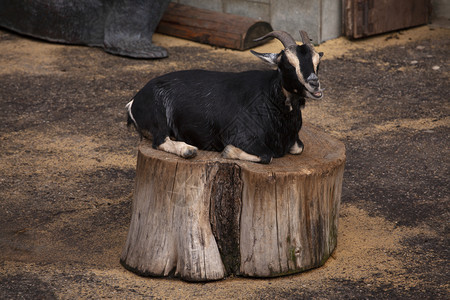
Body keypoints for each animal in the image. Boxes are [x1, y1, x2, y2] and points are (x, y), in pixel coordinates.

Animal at [126, 30, 324, 164]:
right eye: (287, 64)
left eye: (317, 62)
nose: (314, 83)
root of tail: (134, 101)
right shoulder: (242, 136)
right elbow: (267, 156)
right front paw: (228, 152)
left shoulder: (294, 141)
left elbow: (299, 148)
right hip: (158, 116)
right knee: (159, 140)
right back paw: (188, 150)